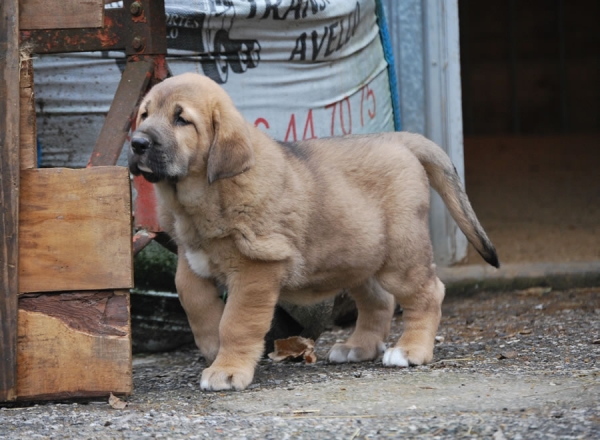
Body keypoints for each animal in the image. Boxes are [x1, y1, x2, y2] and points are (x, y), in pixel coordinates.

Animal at [129, 73, 500, 392]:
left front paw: (227, 369)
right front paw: (211, 346)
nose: (136, 142)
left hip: (401, 256)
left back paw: (411, 350)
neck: (200, 199)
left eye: (181, 119)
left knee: (428, 293)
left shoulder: (256, 270)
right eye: (144, 114)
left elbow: (236, 322)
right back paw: (358, 347)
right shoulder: (190, 259)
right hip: (358, 257)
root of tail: (397, 138)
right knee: (380, 301)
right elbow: (192, 300)